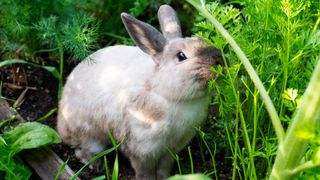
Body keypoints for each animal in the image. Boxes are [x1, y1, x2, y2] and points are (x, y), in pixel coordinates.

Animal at [57, 4, 222, 180]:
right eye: (181, 56)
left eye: (203, 41)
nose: (219, 60)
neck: (168, 96)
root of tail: (61, 123)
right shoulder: (143, 150)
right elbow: (144, 170)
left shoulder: (171, 150)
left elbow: (164, 167)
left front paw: (163, 178)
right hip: (91, 137)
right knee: (82, 151)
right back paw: (96, 165)